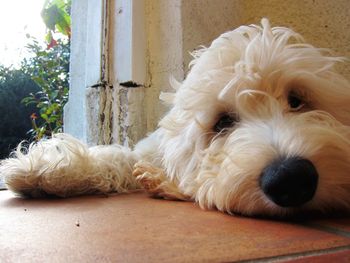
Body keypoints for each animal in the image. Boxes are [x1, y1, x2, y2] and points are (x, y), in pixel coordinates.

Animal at [0, 18, 350, 217]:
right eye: (222, 122)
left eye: (297, 100)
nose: (290, 177)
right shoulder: (152, 148)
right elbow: (120, 156)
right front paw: (47, 169)